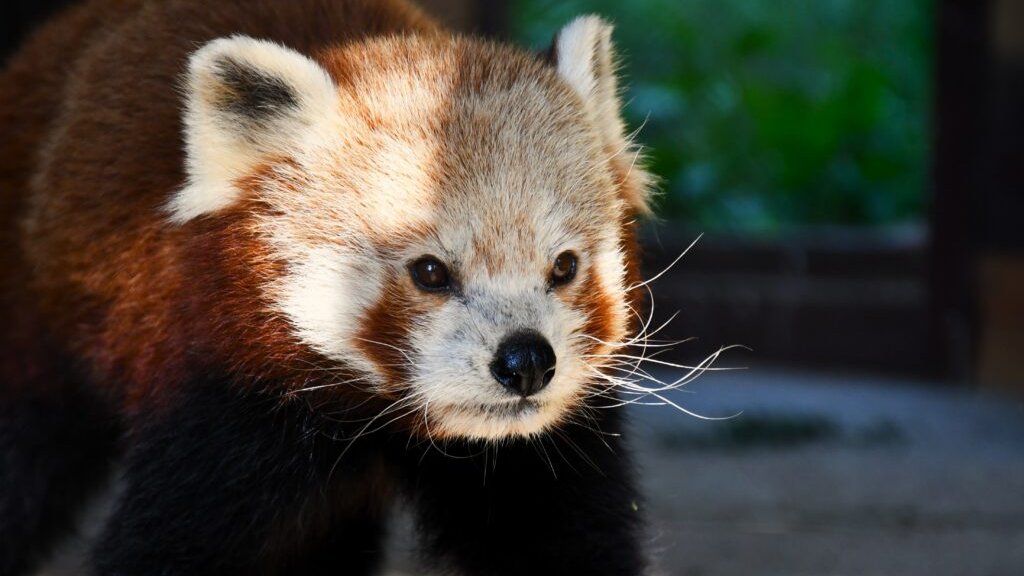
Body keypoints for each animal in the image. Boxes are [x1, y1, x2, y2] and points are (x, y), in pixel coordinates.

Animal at [0, 1, 651, 573]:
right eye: (431, 271)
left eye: (563, 267)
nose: (526, 362)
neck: (376, 419)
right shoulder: (221, 394)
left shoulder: (536, 451)